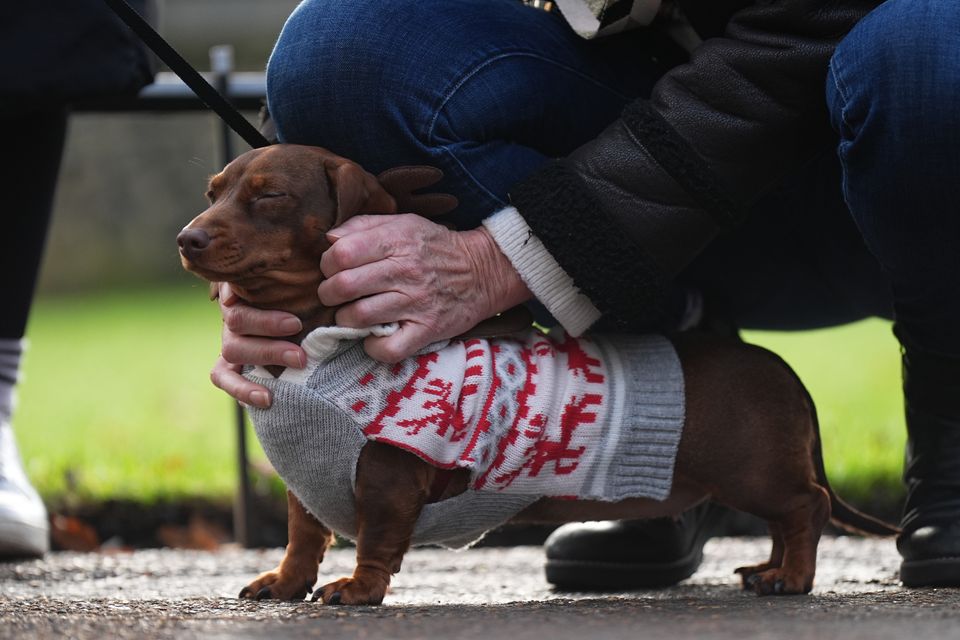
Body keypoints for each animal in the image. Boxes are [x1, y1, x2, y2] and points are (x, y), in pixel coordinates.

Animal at [176, 144, 896, 604]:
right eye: (212, 193)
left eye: (271, 196)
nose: (188, 239)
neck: (317, 355)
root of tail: (778, 367)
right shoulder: (306, 474)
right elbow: (303, 534)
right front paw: (285, 583)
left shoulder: (389, 471)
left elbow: (376, 537)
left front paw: (360, 588)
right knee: (788, 516)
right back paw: (768, 567)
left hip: (755, 472)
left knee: (808, 506)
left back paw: (791, 578)